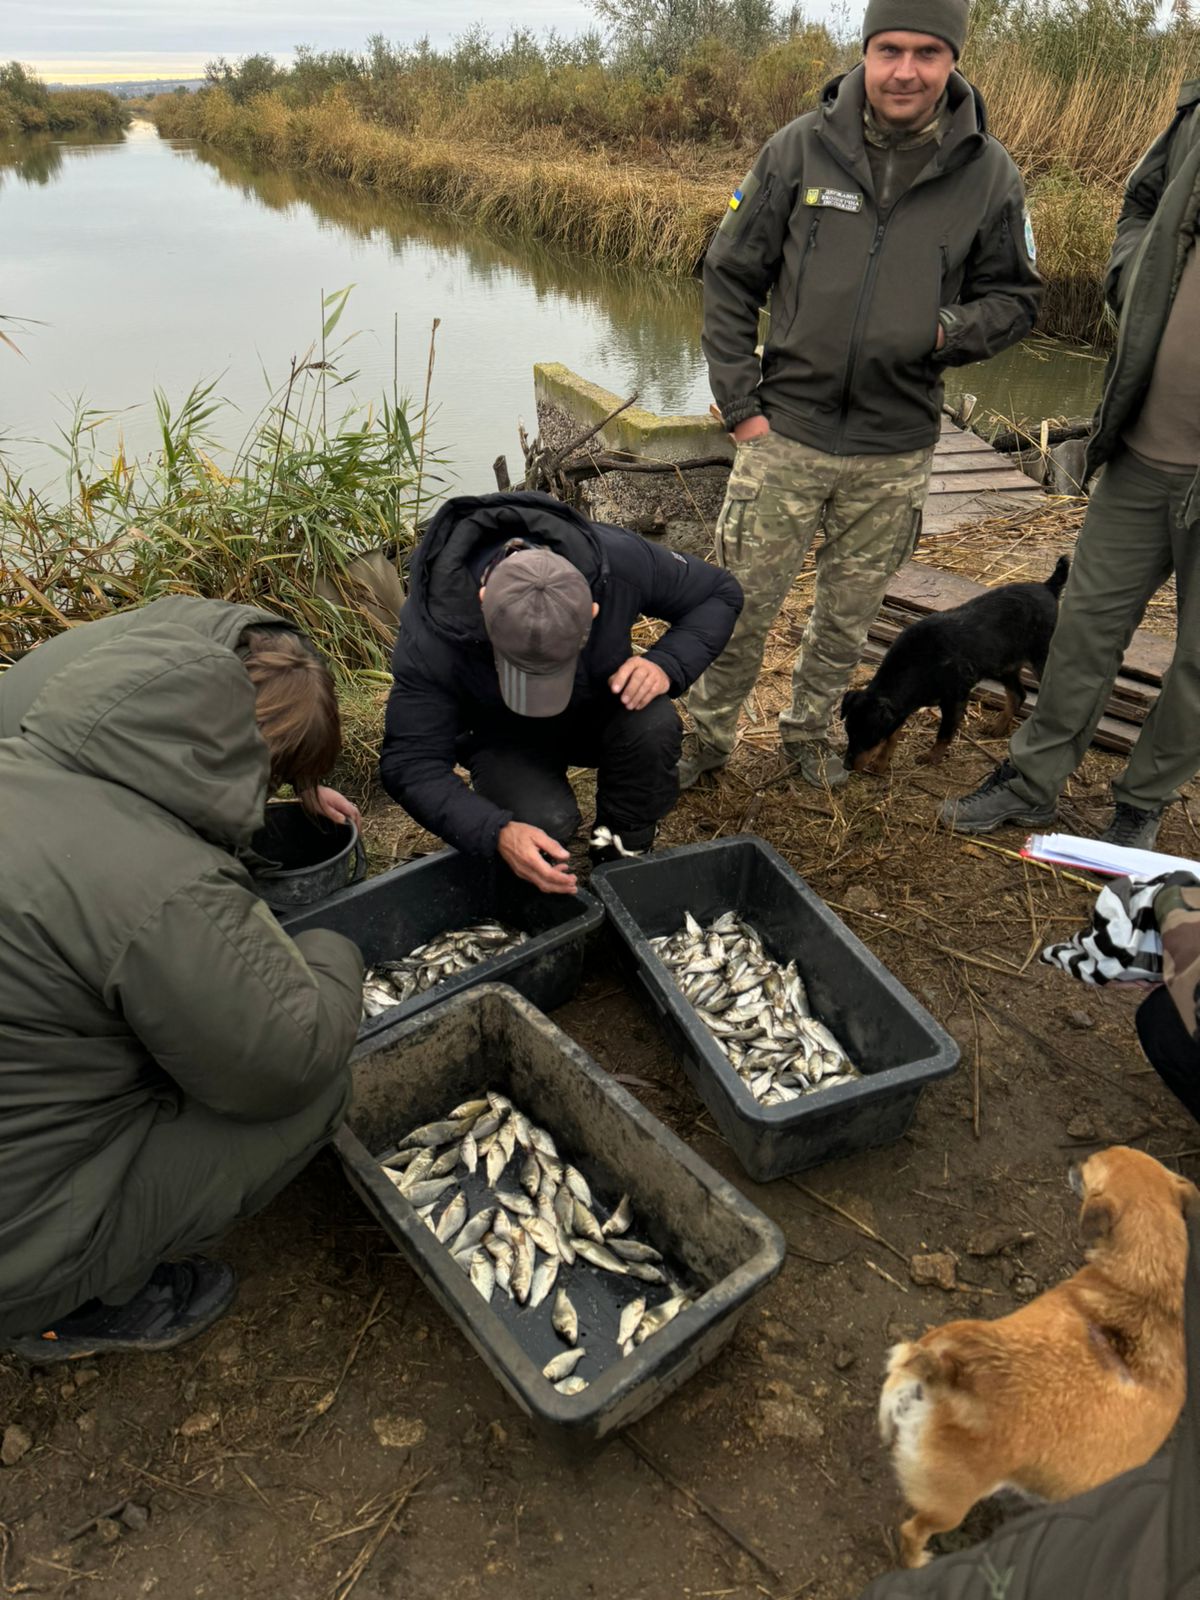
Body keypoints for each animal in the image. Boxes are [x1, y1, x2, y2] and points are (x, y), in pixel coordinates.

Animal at [844, 560, 1068, 777]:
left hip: (1042, 657)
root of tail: (1048, 587)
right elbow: (893, 734)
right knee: (1018, 694)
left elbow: (944, 732)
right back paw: (996, 728)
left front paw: (931, 758)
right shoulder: (905, 704)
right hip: (1004, 665)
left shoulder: (955, 698)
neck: (917, 665)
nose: (846, 766)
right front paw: (881, 764)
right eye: (848, 731)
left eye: (868, 737)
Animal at [876, 1145, 1196, 1568]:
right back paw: (918, 1562)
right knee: (911, 1532)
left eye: (1090, 1166)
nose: (1074, 1159)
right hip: (950, 1505)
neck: (1149, 1284)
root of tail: (950, 1370)